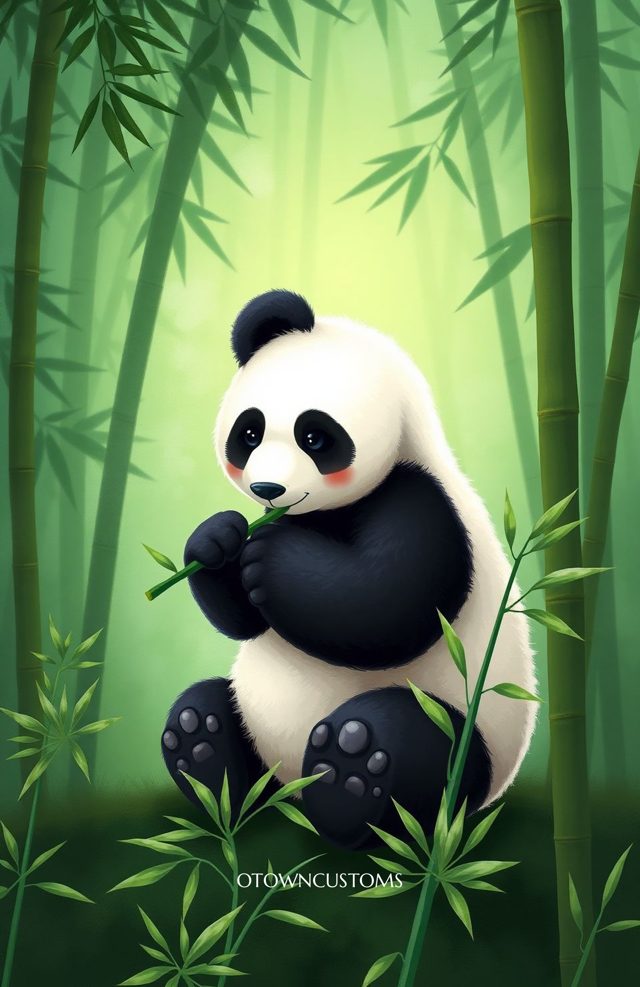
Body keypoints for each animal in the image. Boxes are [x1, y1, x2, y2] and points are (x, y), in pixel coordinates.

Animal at [161, 289, 537, 849]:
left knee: (422, 744)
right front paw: (218, 540)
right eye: (249, 432)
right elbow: (245, 621)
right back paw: (202, 751)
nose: (268, 490)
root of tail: (290, 787)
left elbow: (387, 607)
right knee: (213, 707)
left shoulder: (421, 497)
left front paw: (271, 557)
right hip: (253, 722)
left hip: (475, 728)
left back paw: (348, 776)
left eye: (315, 438)